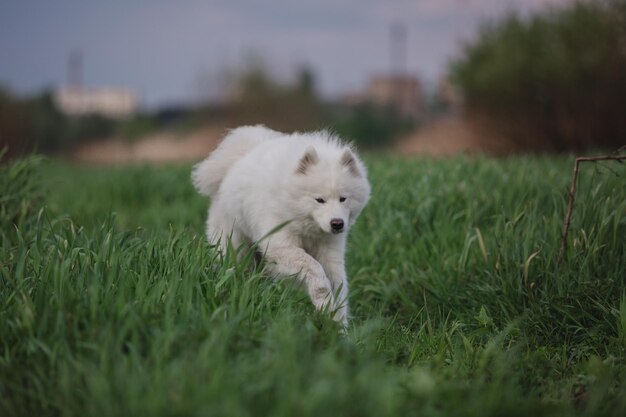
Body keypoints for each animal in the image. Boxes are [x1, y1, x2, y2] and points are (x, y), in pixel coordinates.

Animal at [193, 125, 368, 326]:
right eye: (319, 200)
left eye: (343, 198)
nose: (337, 224)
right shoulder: (279, 246)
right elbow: (314, 268)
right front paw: (323, 299)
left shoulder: (330, 252)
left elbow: (339, 285)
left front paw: (338, 324)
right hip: (234, 245)